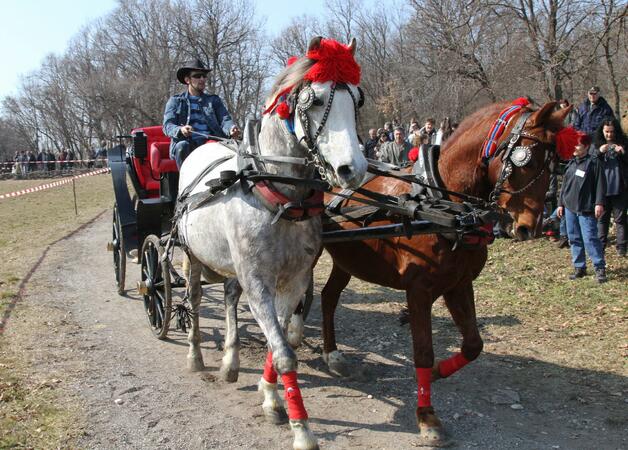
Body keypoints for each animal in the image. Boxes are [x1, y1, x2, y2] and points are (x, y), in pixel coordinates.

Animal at [177, 37, 366, 448]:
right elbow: (284, 356)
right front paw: (302, 428)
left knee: (229, 297)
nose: (353, 169)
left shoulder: (293, 280)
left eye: (357, 100)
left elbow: (279, 343)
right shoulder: (258, 283)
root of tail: (202, 146)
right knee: (195, 301)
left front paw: (270, 396)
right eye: (314, 100)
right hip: (192, 258)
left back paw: (230, 361)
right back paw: (196, 355)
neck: (280, 197)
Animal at [316, 100, 572, 444]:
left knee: (328, 298)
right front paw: (427, 417)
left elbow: (473, 345)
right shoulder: (419, 291)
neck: (443, 204)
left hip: (346, 261)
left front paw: (438, 373)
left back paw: (332, 354)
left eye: (554, 166)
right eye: (525, 161)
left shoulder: (458, 284)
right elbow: (423, 351)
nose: (529, 228)